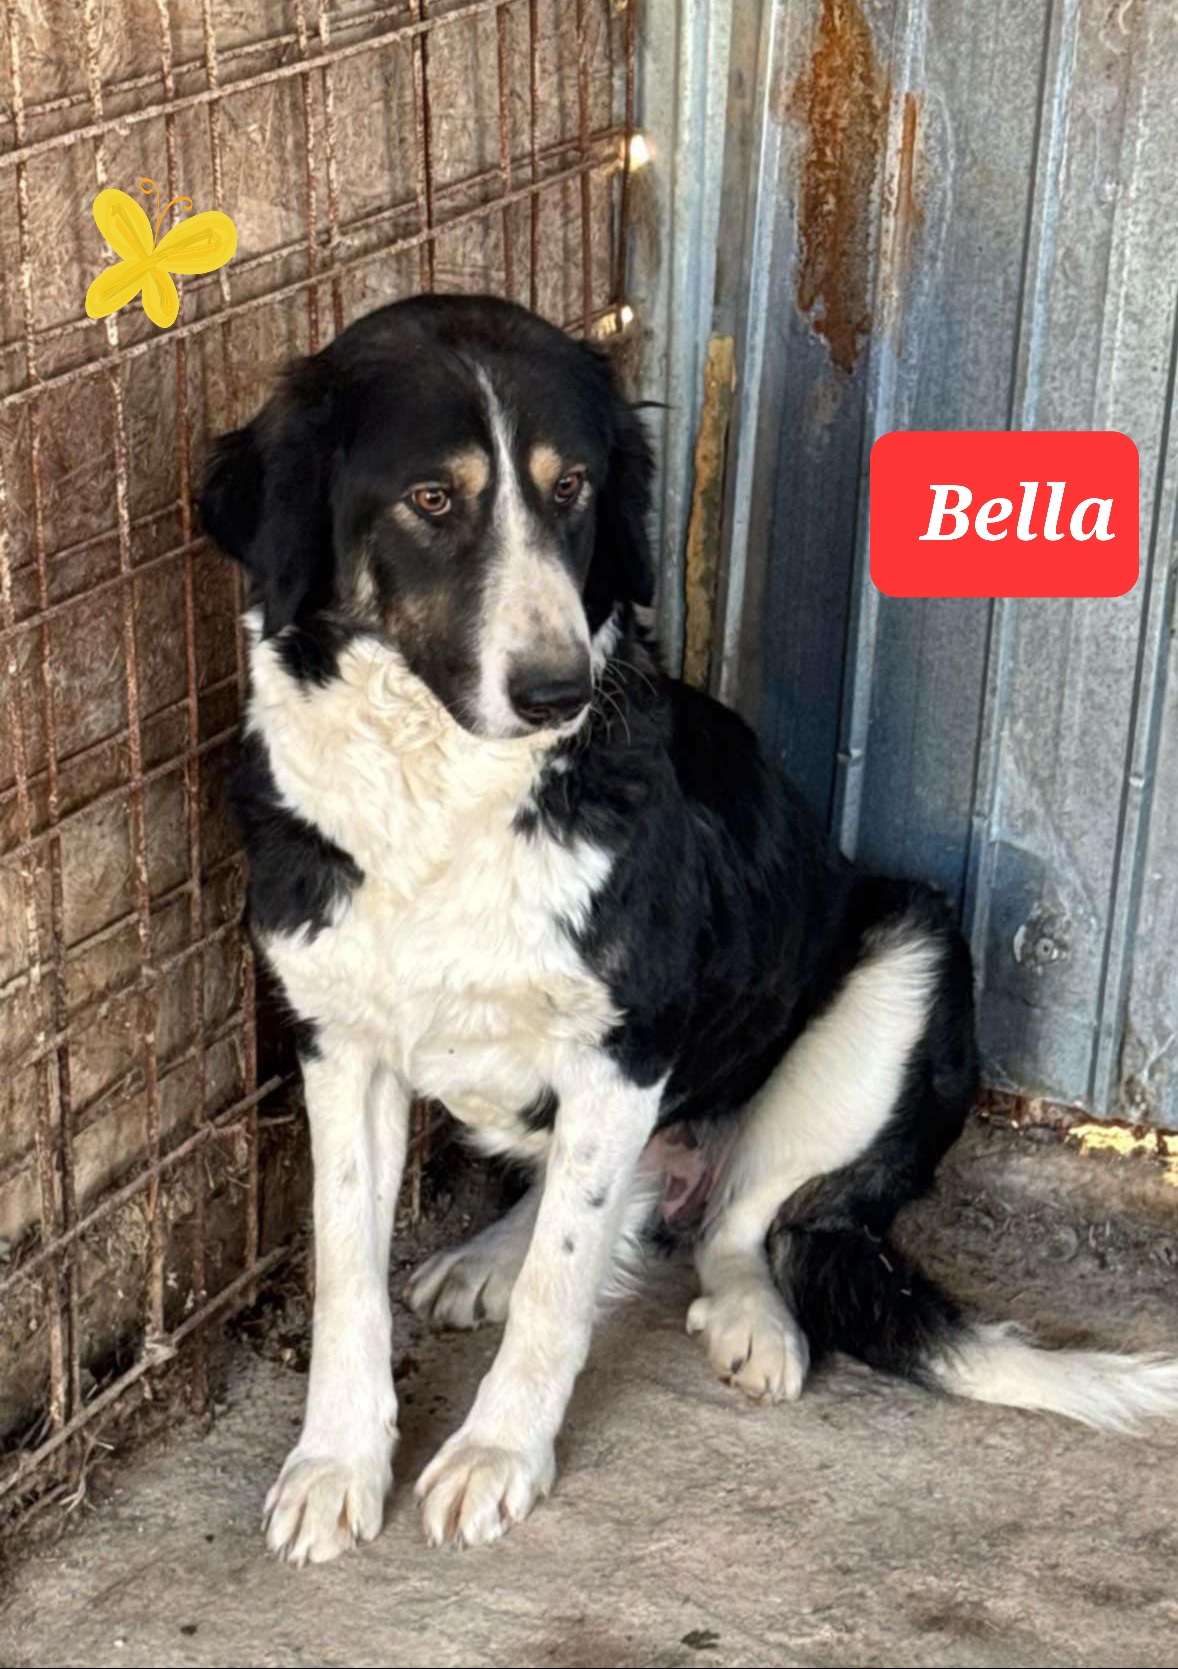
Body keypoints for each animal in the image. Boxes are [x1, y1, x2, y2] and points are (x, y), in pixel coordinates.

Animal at [200, 293, 1178, 1564]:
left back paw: (751, 1320)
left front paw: (497, 1452)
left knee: (734, 1226)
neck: (446, 797)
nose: (558, 691)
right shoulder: (339, 1045)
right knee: (607, 1193)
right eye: (431, 499)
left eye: (571, 488)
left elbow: (563, 1288)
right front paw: (334, 1460)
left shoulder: (630, 1042)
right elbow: (345, 1272)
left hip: (907, 958)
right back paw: (491, 1249)